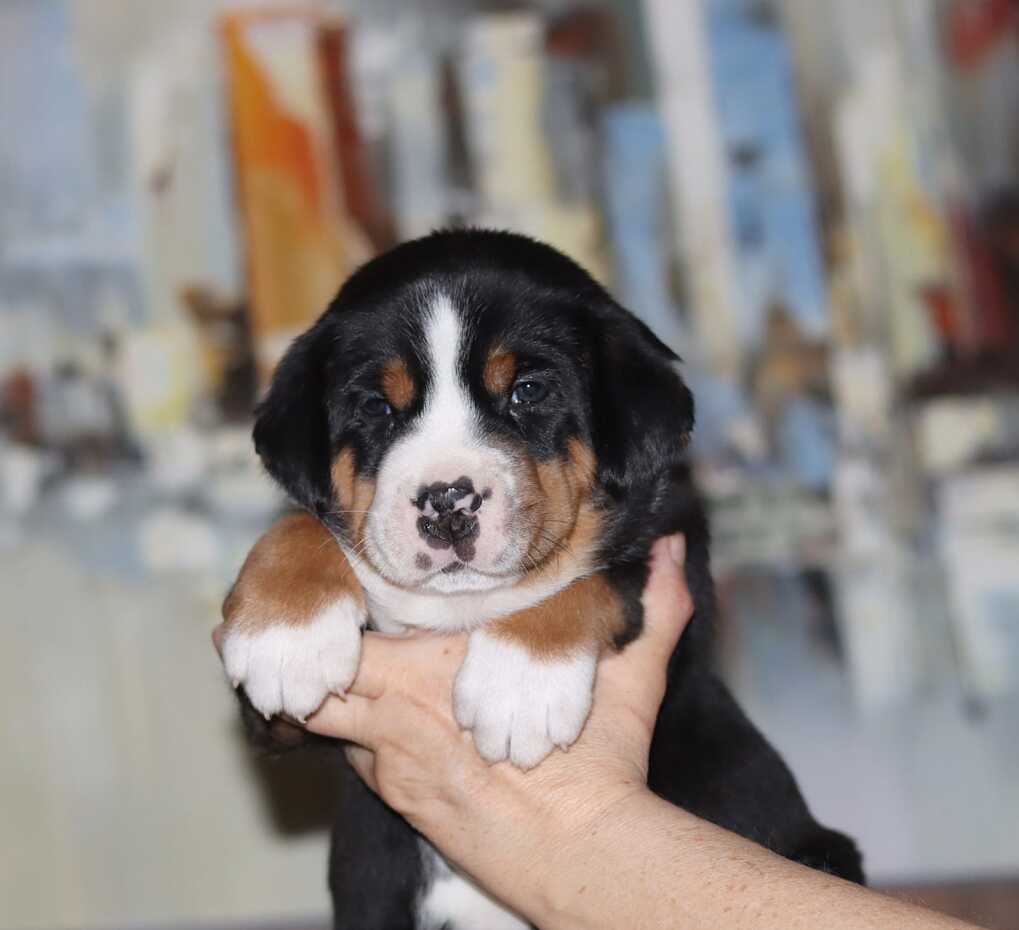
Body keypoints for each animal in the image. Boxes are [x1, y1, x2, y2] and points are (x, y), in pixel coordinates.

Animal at [219, 229, 864, 929]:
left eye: (528, 391)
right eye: (374, 405)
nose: (446, 501)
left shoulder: (675, 546)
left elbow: (595, 578)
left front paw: (518, 684)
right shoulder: (280, 727)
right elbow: (299, 523)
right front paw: (286, 637)